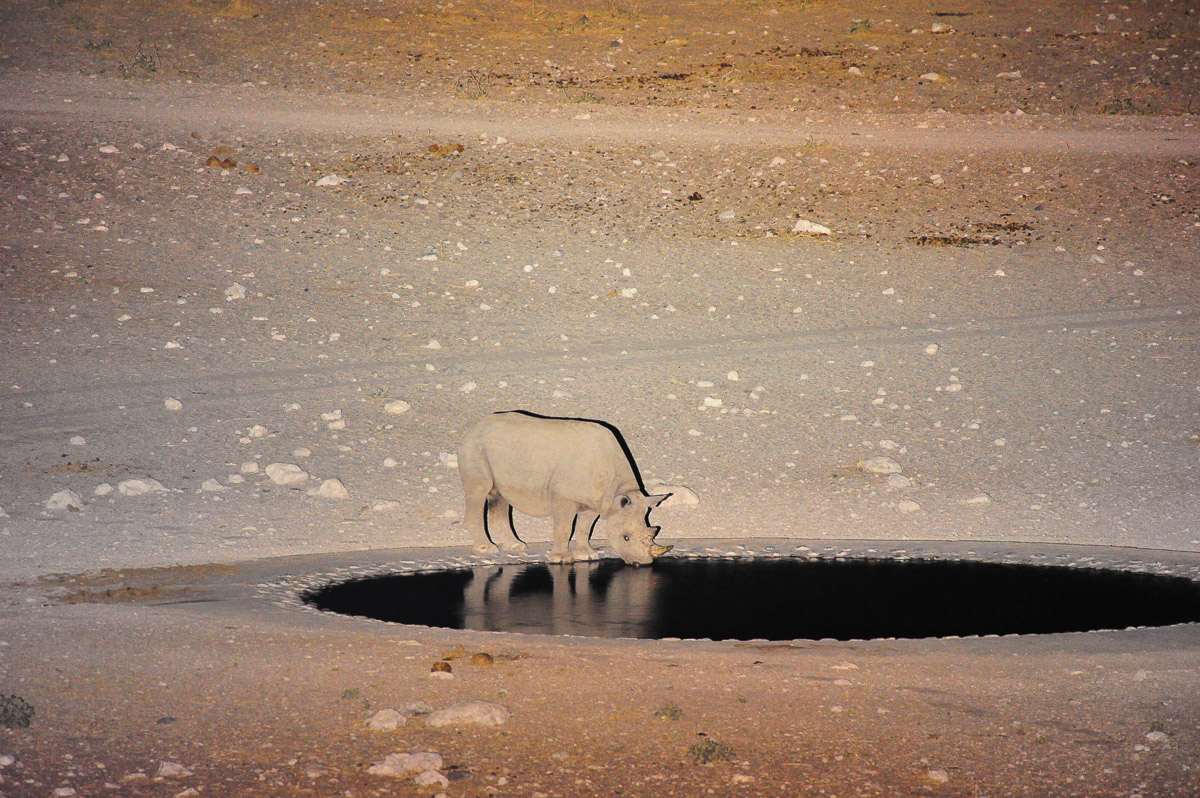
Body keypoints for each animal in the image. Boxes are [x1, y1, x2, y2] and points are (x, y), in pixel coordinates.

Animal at [457, 411, 672, 565]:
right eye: (626, 538)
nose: (642, 562)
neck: (617, 491)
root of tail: (474, 426)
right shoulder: (563, 496)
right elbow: (563, 527)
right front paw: (561, 559)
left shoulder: (597, 500)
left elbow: (585, 527)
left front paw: (587, 556)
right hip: (474, 447)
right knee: (479, 490)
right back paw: (487, 549)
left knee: (499, 496)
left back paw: (517, 546)